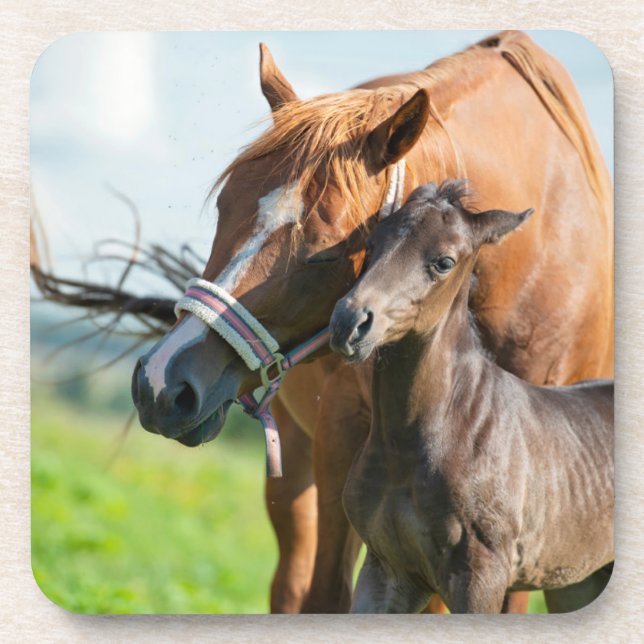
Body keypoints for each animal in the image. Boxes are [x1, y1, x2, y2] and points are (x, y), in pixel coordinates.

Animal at [328, 180, 614, 613]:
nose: (349, 323)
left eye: (444, 262)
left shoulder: (481, 576)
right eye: (371, 244)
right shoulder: (386, 571)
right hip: (579, 584)